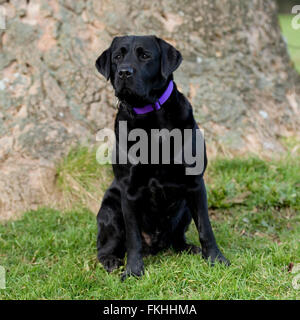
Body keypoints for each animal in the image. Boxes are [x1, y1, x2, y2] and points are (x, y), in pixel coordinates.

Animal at [96, 35, 230, 280]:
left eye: (145, 55)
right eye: (117, 56)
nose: (124, 72)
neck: (150, 118)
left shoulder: (195, 184)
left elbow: (205, 228)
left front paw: (215, 259)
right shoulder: (128, 190)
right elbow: (133, 238)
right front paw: (133, 271)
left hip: (184, 209)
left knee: (177, 239)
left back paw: (188, 248)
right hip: (110, 210)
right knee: (105, 247)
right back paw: (111, 260)